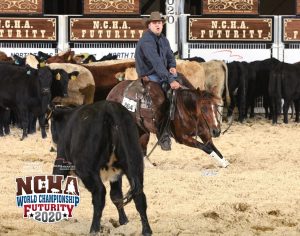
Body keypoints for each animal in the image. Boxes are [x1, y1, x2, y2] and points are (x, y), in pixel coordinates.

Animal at [51, 100, 152, 236]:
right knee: (139, 195)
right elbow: (116, 196)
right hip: (135, 165)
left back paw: (94, 229)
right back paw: (146, 230)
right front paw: (123, 221)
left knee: (99, 193)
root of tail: (109, 107)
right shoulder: (116, 175)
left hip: (86, 169)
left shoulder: (61, 161)